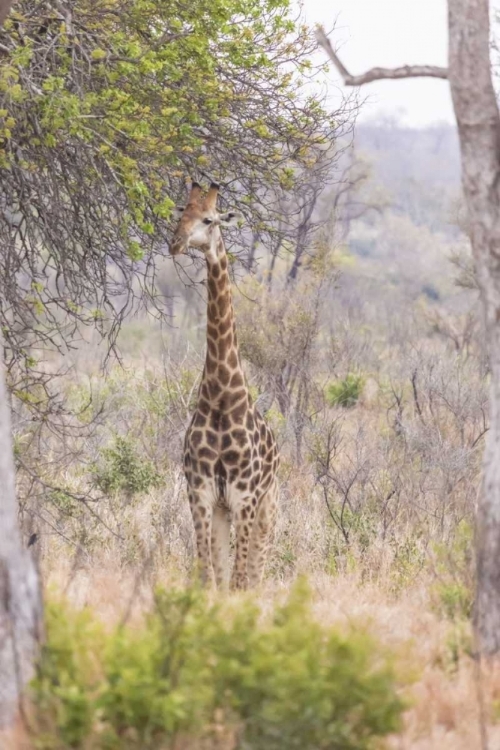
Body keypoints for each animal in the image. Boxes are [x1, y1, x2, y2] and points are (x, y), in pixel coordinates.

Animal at [170, 184, 280, 592]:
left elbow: (238, 580)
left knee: (255, 572)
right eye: (181, 212)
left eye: (209, 220)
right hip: (223, 509)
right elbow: (209, 577)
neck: (219, 397)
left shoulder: (245, 497)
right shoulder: (201, 494)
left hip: (267, 507)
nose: (175, 242)